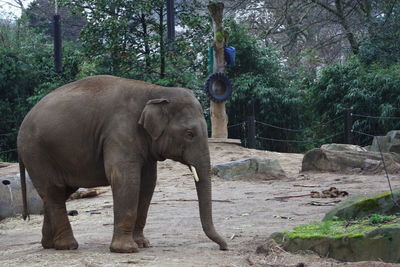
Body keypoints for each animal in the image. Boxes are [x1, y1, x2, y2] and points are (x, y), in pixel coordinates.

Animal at [17, 75, 227, 253]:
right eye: (189, 134)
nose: (224, 247)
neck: (155, 91)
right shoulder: (120, 132)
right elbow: (125, 178)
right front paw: (127, 249)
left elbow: (148, 183)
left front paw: (143, 244)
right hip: (37, 153)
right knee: (54, 191)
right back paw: (67, 246)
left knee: (58, 193)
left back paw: (49, 244)